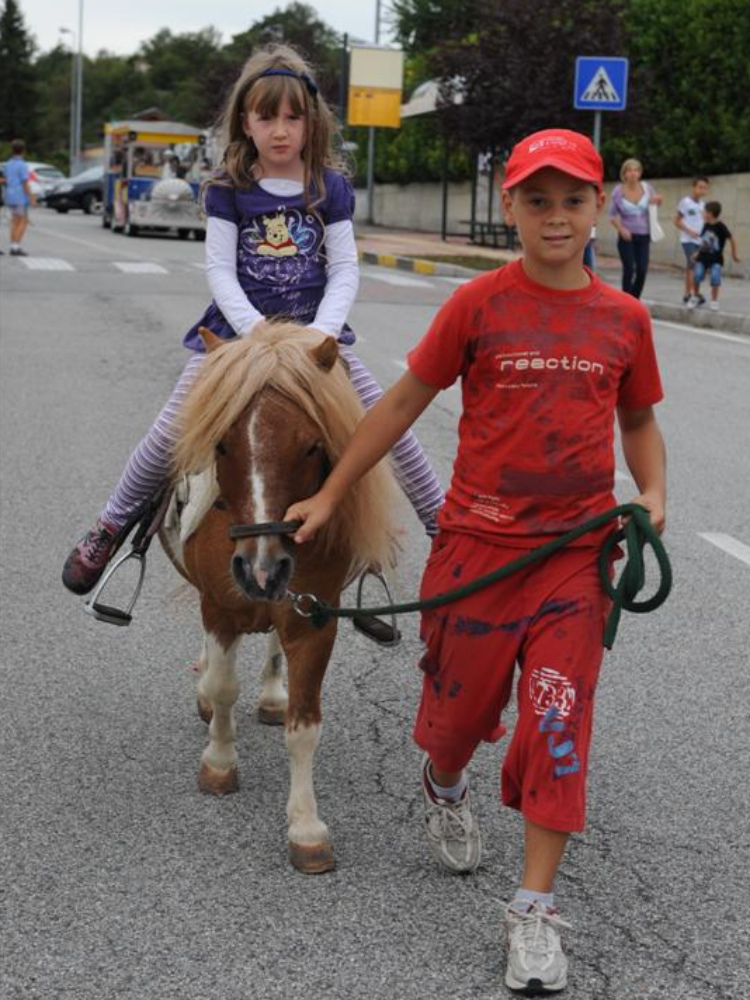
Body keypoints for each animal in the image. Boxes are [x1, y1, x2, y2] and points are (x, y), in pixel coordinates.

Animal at [160, 321, 399, 873]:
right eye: (222, 445)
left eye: (312, 447)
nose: (261, 569)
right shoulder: (220, 606)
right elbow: (224, 687)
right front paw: (219, 763)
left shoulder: (314, 619)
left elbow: (304, 724)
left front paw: (306, 827)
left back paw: (270, 692)